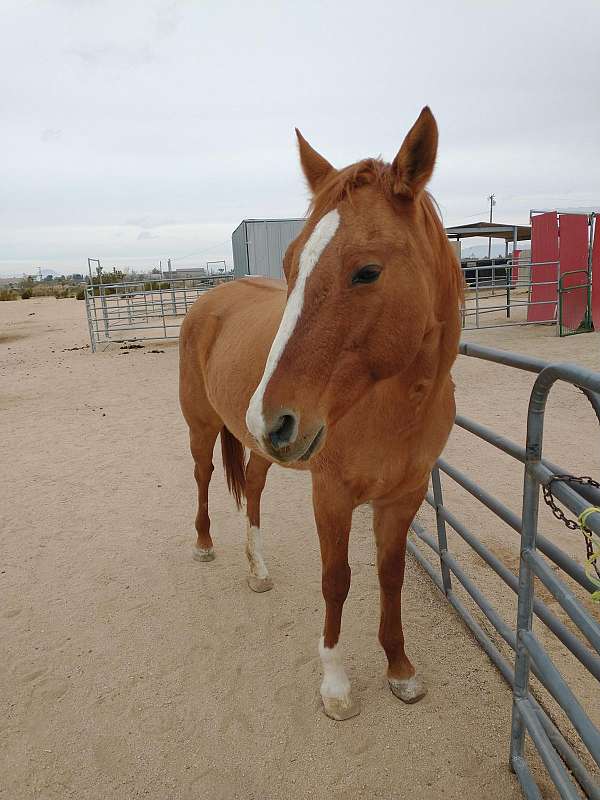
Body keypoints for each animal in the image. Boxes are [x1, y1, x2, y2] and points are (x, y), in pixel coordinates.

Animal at [178, 106, 460, 720]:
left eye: (367, 271)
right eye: (290, 264)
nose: (269, 417)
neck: (391, 408)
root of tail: (212, 298)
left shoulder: (403, 496)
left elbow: (389, 576)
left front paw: (400, 669)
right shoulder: (331, 494)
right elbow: (337, 580)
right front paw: (335, 684)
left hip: (263, 448)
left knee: (253, 488)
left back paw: (258, 570)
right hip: (204, 428)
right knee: (204, 476)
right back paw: (205, 545)